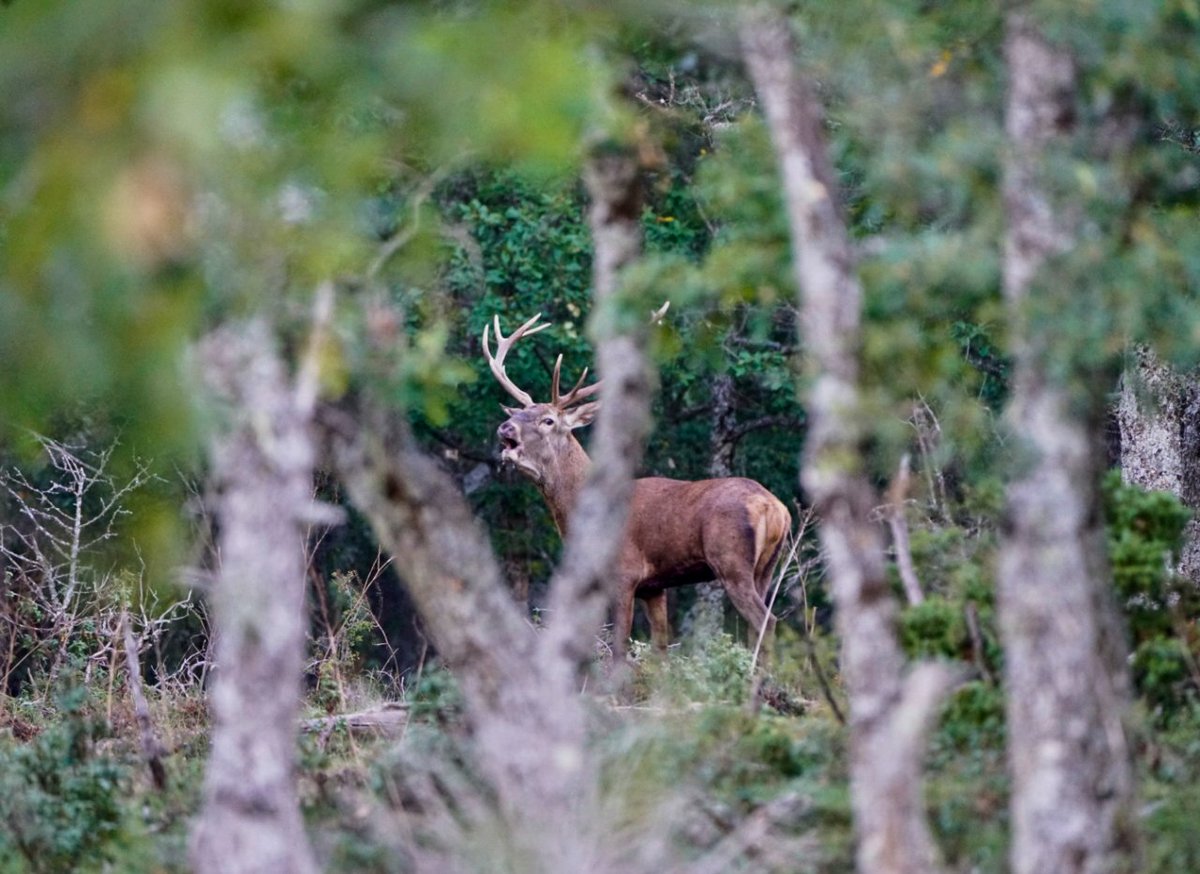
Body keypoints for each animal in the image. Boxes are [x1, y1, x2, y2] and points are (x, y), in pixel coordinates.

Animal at [482, 312, 792, 661]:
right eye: (520, 412)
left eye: (548, 420)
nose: (505, 427)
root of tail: (776, 508)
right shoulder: (654, 587)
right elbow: (660, 650)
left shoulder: (624, 573)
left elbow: (620, 648)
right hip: (766, 567)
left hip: (731, 560)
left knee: (767, 621)